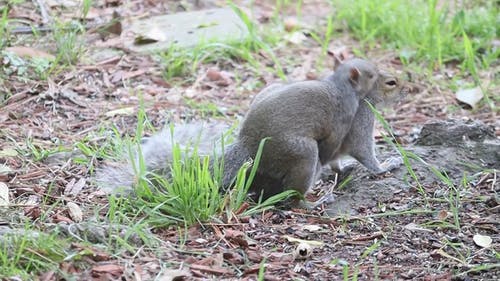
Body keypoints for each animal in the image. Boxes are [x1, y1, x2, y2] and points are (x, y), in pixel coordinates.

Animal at [95, 57, 408, 206]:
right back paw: (314, 201)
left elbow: (339, 159)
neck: (341, 86)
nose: (408, 88)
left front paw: (342, 169)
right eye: (390, 82)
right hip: (302, 153)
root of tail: (247, 144)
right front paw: (387, 165)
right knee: (293, 196)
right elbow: (362, 153)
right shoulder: (353, 121)